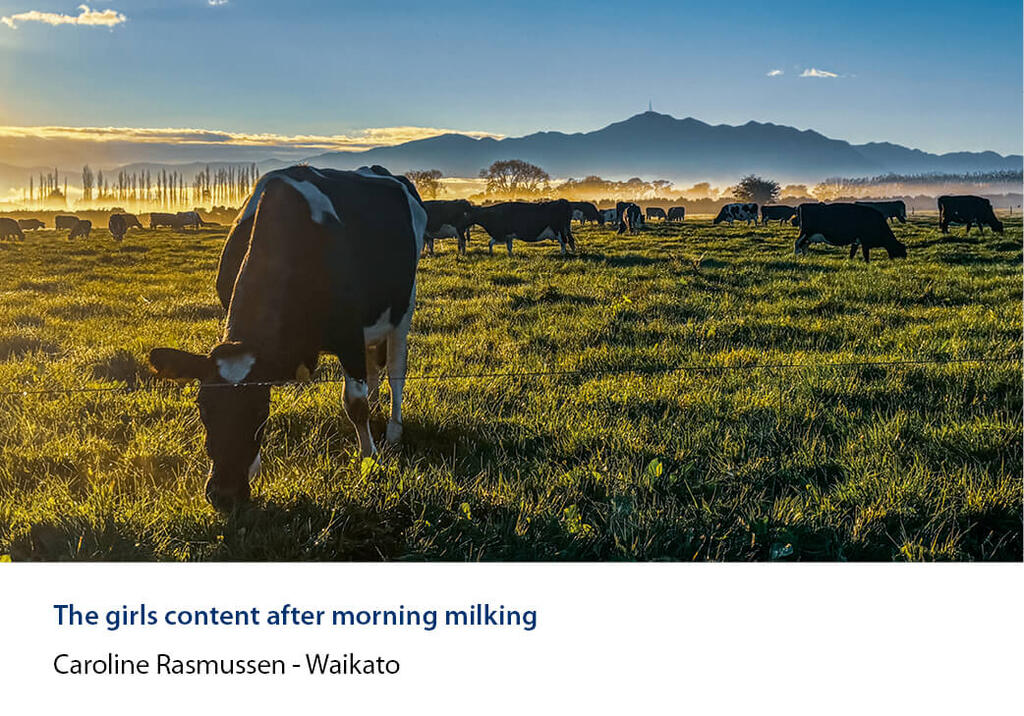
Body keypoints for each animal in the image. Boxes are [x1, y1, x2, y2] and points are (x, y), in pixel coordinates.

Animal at [148, 165, 426, 510]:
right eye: (203, 407)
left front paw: (369, 460)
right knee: (374, 368)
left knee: (395, 371)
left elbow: (356, 404)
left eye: (260, 410)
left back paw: (393, 430)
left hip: (404, 306)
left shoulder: (349, 333)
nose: (225, 495)